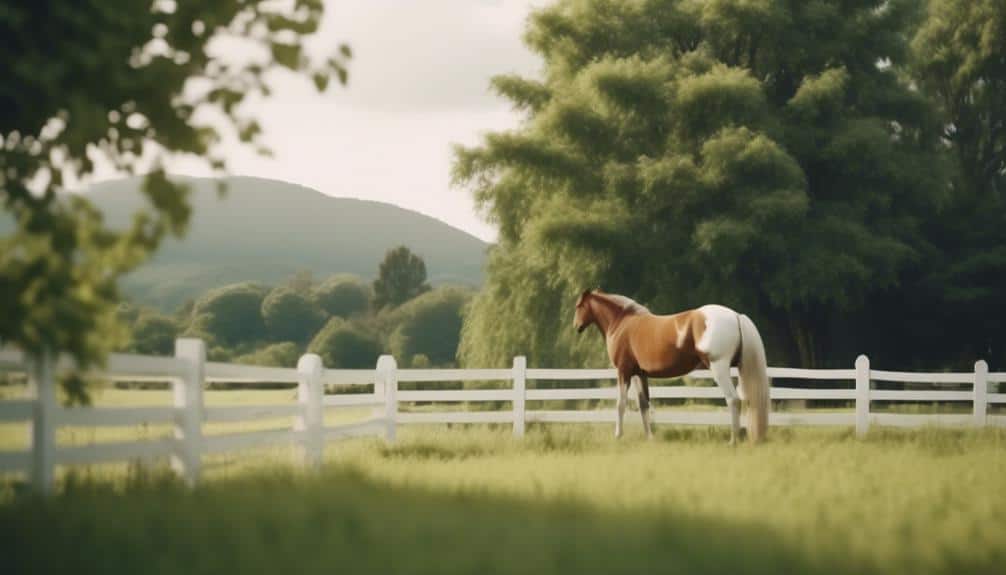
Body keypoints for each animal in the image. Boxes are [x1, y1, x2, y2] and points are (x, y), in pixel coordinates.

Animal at [572, 289, 770, 444]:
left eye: (579, 305)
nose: (577, 327)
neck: (622, 323)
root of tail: (735, 316)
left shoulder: (624, 372)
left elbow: (620, 404)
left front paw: (618, 436)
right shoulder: (639, 374)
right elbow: (644, 404)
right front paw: (650, 438)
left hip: (719, 368)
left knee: (733, 400)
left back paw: (733, 440)